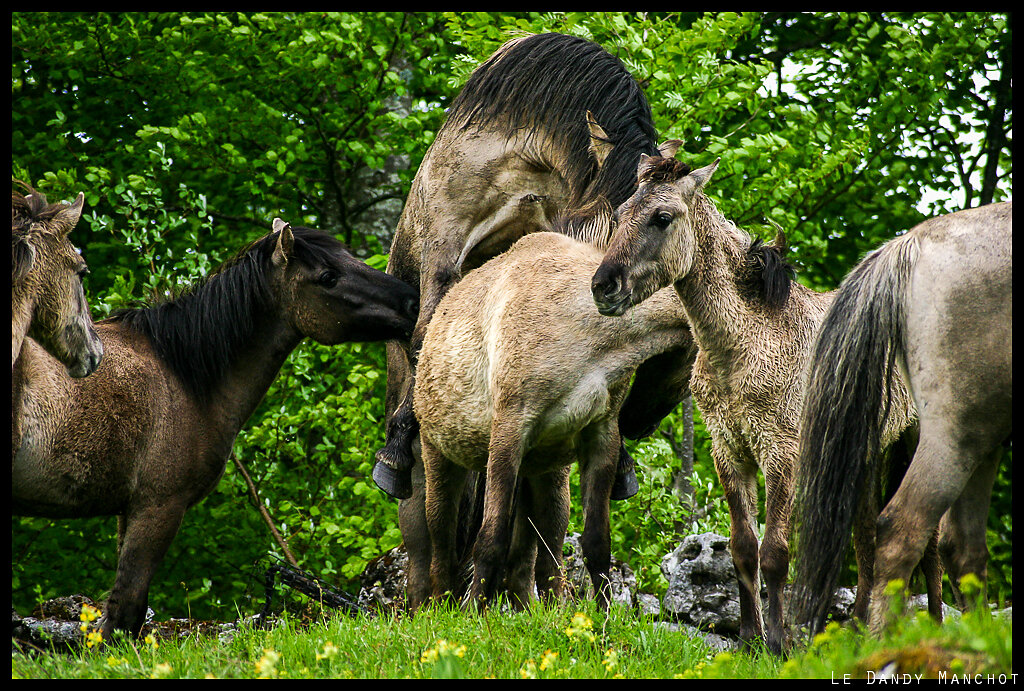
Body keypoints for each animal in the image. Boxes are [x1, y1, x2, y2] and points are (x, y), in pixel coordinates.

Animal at [9, 220, 417, 638]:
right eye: (328, 277)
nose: (411, 301)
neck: (182, 375)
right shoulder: (158, 507)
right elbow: (125, 612)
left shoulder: (131, 510)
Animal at [417, 229, 696, 610]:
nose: (639, 424)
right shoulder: (509, 428)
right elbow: (490, 538)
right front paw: (474, 610)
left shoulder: (601, 435)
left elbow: (596, 542)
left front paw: (603, 614)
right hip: (440, 456)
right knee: (441, 542)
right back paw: (441, 605)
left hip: (545, 473)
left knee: (536, 556)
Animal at [593, 152, 921, 655]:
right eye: (621, 213)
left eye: (662, 217)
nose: (603, 287)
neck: (748, 341)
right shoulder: (730, 451)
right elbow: (743, 548)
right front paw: (749, 638)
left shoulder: (780, 454)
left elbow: (775, 554)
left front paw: (779, 643)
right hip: (864, 456)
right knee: (867, 537)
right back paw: (858, 631)